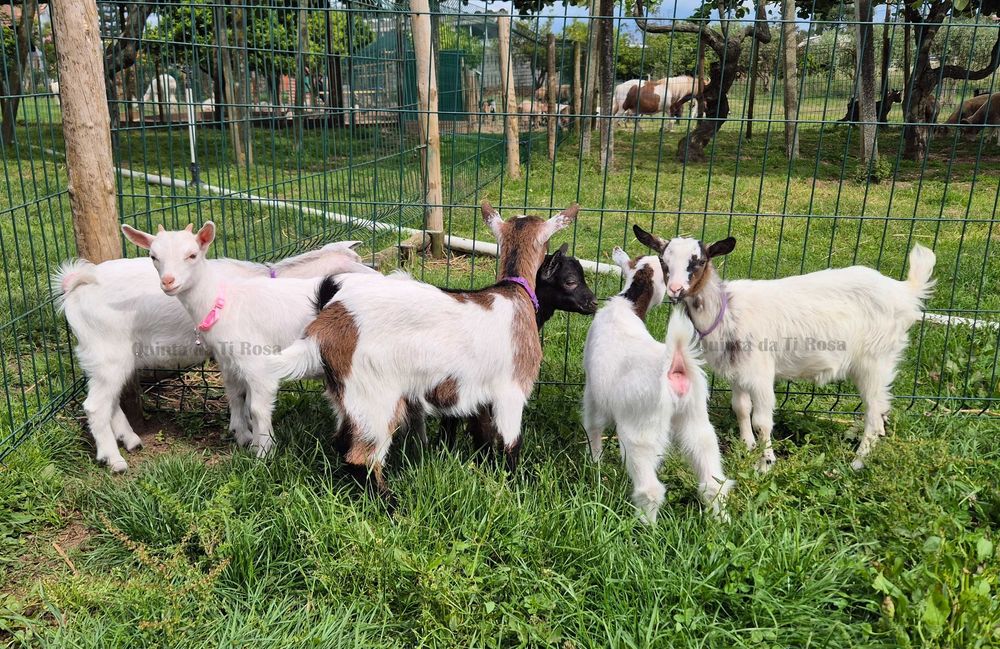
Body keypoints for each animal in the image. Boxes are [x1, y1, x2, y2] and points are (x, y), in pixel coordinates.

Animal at [53, 234, 372, 472]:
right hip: (107, 351)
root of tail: (75, 284)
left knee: (109, 400)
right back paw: (114, 459)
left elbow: (236, 392)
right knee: (95, 405)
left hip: (106, 357)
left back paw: (130, 440)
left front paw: (241, 433)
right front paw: (249, 436)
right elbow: (245, 395)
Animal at [272, 202, 578, 501]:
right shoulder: (511, 390)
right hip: (374, 397)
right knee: (362, 459)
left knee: (341, 442)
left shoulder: (479, 394)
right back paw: (393, 507)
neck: (515, 293)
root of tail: (322, 330)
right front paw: (517, 488)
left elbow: (482, 436)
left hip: (345, 397)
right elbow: (510, 444)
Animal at [583, 250, 732, 523]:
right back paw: (721, 520)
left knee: (650, 488)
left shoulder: (592, 391)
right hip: (696, 421)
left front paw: (595, 461)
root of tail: (675, 366)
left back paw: (645, 526)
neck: (627, 305)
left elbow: (593, 425)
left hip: (641, 430)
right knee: (714, 482)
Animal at [634, 225, 935, 472]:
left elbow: (762, 421)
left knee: (873, 413)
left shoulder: (761, 372)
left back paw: (856, 463)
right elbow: (740, 407)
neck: (727, 310)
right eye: (663, 261)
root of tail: (905, 292)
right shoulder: (737, 371)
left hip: (876, 359)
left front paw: (765, 462)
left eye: (698, 261)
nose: (675, 289)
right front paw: (747, 447)